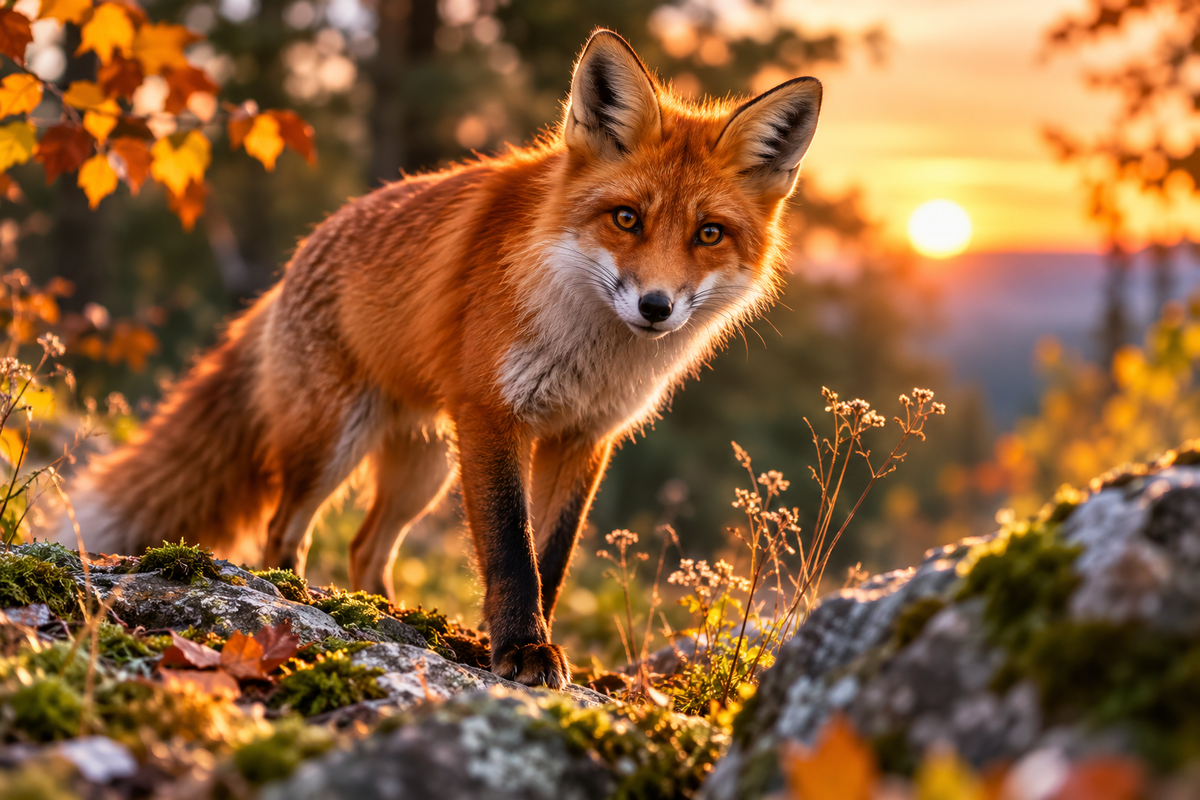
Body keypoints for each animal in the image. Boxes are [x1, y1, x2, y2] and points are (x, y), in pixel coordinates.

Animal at [59, 30, 822, 688]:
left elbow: (552, 558)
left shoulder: (584, 436)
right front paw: (522, 648)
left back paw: (391, 614)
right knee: (284, 527)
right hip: (333, 444)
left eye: (709, 234)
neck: (589, 346)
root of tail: (291, 264)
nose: (656, 307)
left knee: (365, 546)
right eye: (626, 218)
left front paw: (530, 642)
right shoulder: (494, 414)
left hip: (424, 468)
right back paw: (294, 596)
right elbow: (512, 553)